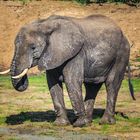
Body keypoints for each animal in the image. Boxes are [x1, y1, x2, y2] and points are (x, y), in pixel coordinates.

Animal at [0, 14, 135, 127]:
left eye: (33, 48)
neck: (45, 24)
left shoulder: (76, 53)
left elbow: (72, 81)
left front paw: (79, 125)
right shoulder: (53, 53)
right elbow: (53, 84)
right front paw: (60, 124)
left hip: (121, 54)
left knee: (111, 84)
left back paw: (104, 122)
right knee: (92, 86)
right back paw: (88, 121)